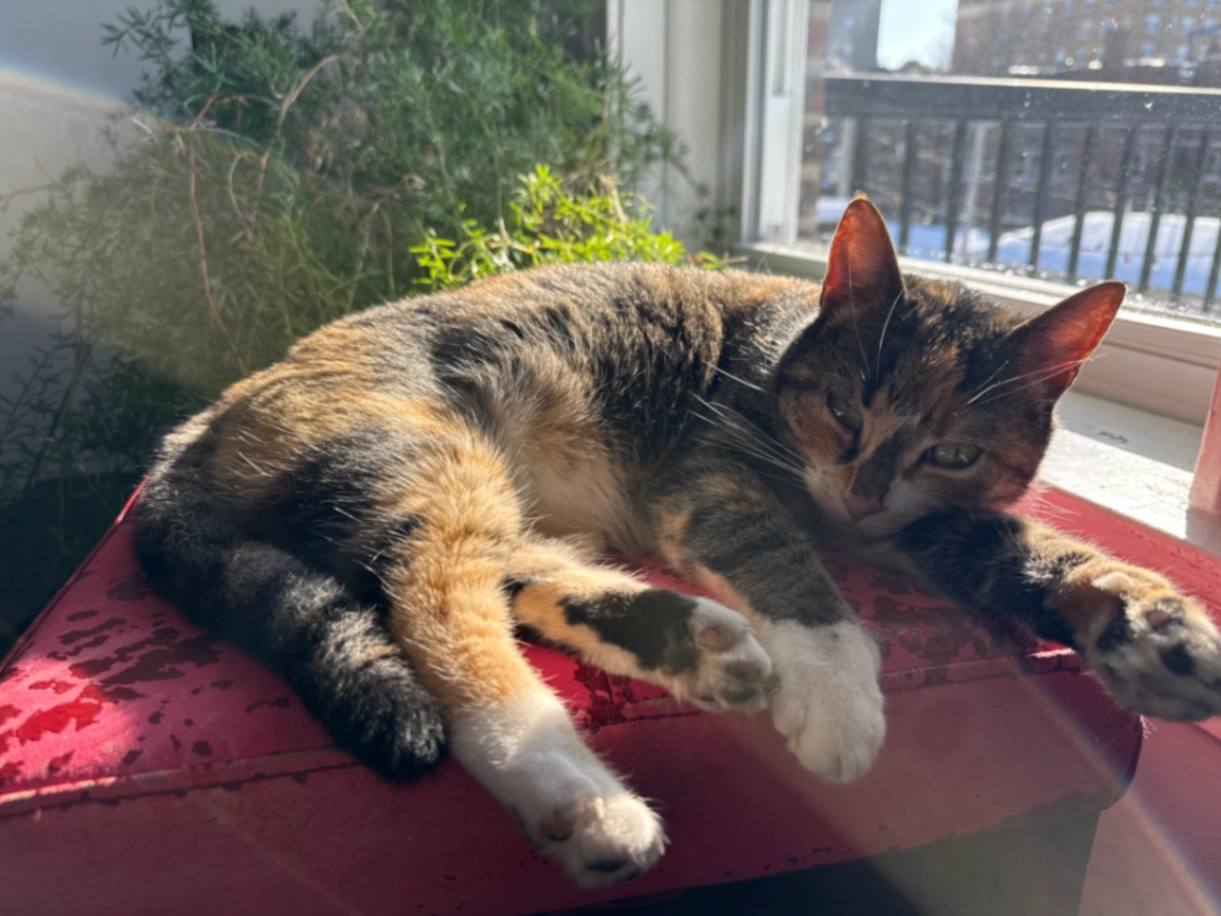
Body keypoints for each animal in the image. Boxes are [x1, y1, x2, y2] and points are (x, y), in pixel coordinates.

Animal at [134, 197, 1221, 887]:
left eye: (954, 449)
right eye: (843, 407)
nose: (862, 495)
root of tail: (203, 422)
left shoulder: (924, 519)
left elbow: (1034, 549)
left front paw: (1159, 633)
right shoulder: (713, 477)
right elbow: (794, 573)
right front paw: (839, 699)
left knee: (504, 568)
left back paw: (690, 642)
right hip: (425, 445)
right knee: (434, 601)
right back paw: (576, 795)